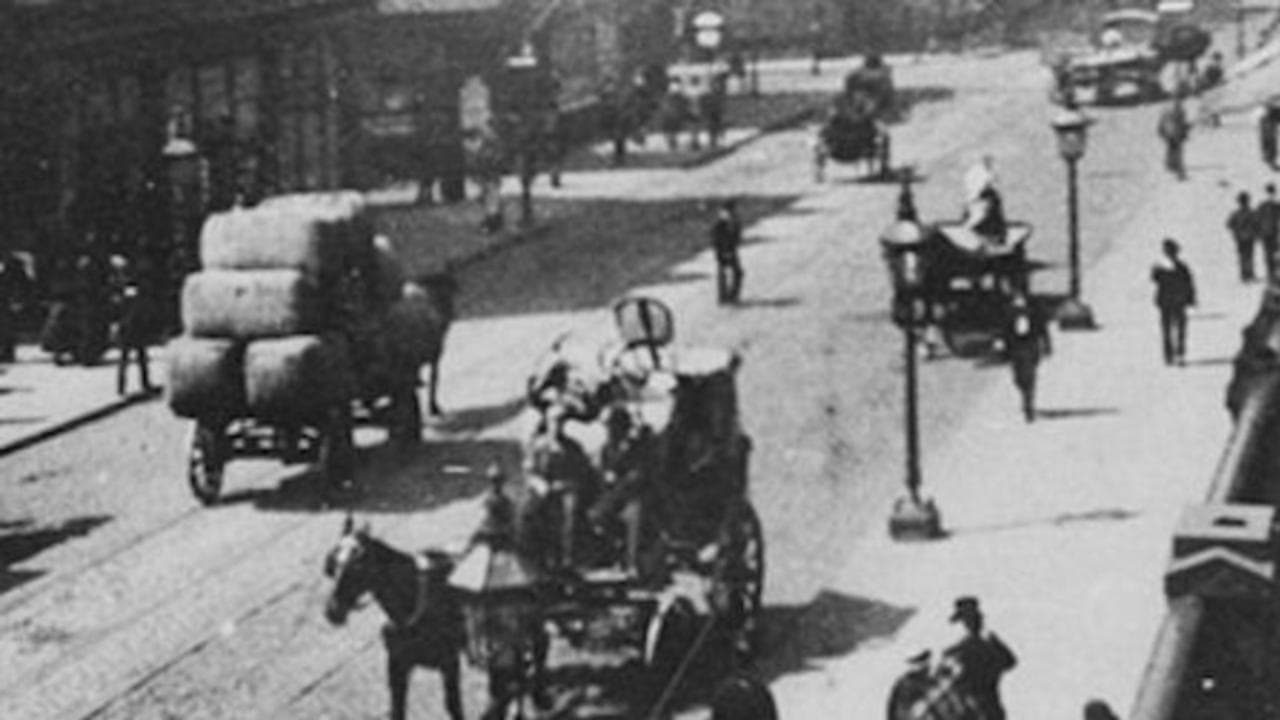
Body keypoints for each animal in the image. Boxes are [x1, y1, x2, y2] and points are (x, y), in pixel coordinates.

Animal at [322, 515, 468, 717]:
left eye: (358, 565)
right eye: (332, 563)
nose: (332, 611)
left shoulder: (449, 664)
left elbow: (454, 706)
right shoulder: (397, 668)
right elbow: (397, 709)